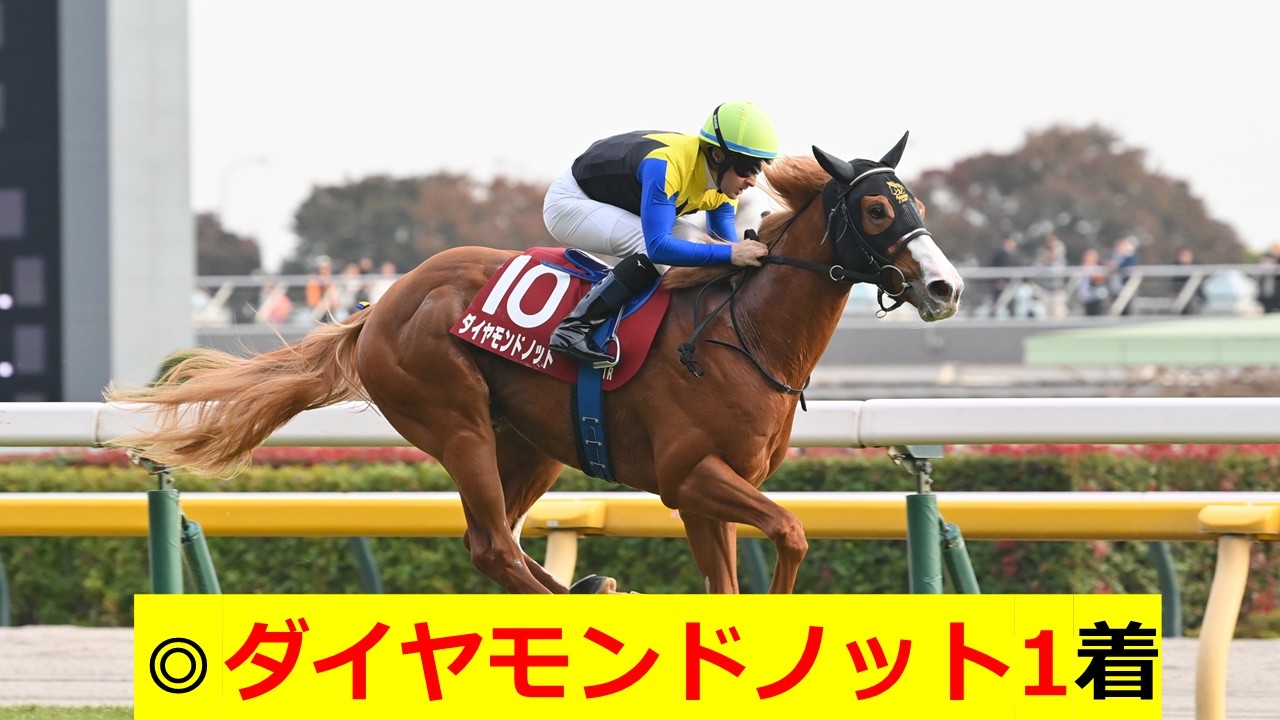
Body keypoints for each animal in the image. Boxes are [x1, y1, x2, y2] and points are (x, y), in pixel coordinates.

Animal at [106, 132, 963, 594]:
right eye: (877, 209)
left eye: (916, 202)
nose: (946, 286)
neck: (740, 336)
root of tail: (379, 307)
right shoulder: (691, 477)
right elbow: (789, 532)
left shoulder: (708, 494)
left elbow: (734, 575)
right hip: (455, 423)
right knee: (492, 546)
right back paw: (589, 595)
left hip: (530, 443)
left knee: (504, 546)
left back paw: (592, 585)